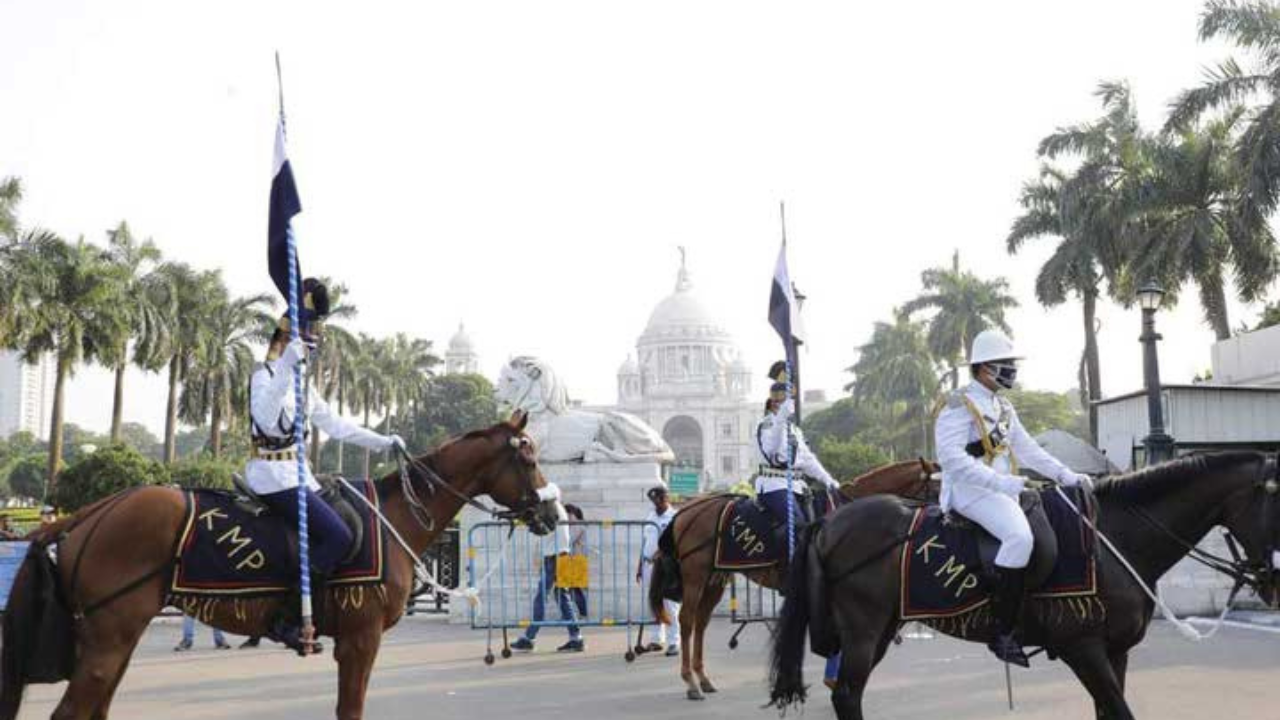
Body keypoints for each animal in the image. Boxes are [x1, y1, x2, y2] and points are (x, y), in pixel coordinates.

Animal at [2, 409, 558, 717]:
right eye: (529, 458)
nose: (552, 511)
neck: (395, 516)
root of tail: (92, 513)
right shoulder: (361, 638)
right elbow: (350, 709)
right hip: (110, 637)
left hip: (114, 636)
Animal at [650, 456, 942, 696]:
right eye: (938, 489)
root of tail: (687, 509)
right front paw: (833, 678)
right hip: (696, 576)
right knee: (687, 621)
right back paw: (690, 682)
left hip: (715, 579)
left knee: (700, 623)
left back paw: (703, 678)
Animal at [768, 450, 1280, 712]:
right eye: (1276, 503)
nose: (1272, 581)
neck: (1112, 538)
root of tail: (830, 523)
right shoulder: (1082, 647)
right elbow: (1118, 711)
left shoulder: (1115, 652)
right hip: (863, 630)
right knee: (847, 694)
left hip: (880, 629)